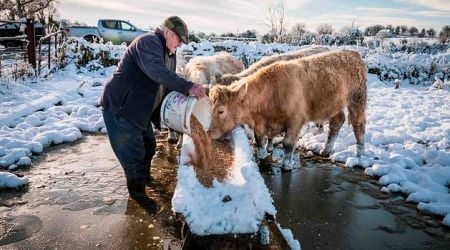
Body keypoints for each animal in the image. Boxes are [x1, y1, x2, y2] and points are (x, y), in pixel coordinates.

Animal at [209, 49, 368, 170]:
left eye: (221, 110)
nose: (210, 132)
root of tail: (353, 53)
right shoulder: (261, 124)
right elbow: (260, 140)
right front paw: (262, 155)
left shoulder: (295, 121)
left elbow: (287, 144)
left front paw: (286, 165)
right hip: (333, 105)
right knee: (337, 122)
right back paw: (325, 150)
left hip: (357, 100)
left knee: (358, 126)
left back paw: (359, 156)